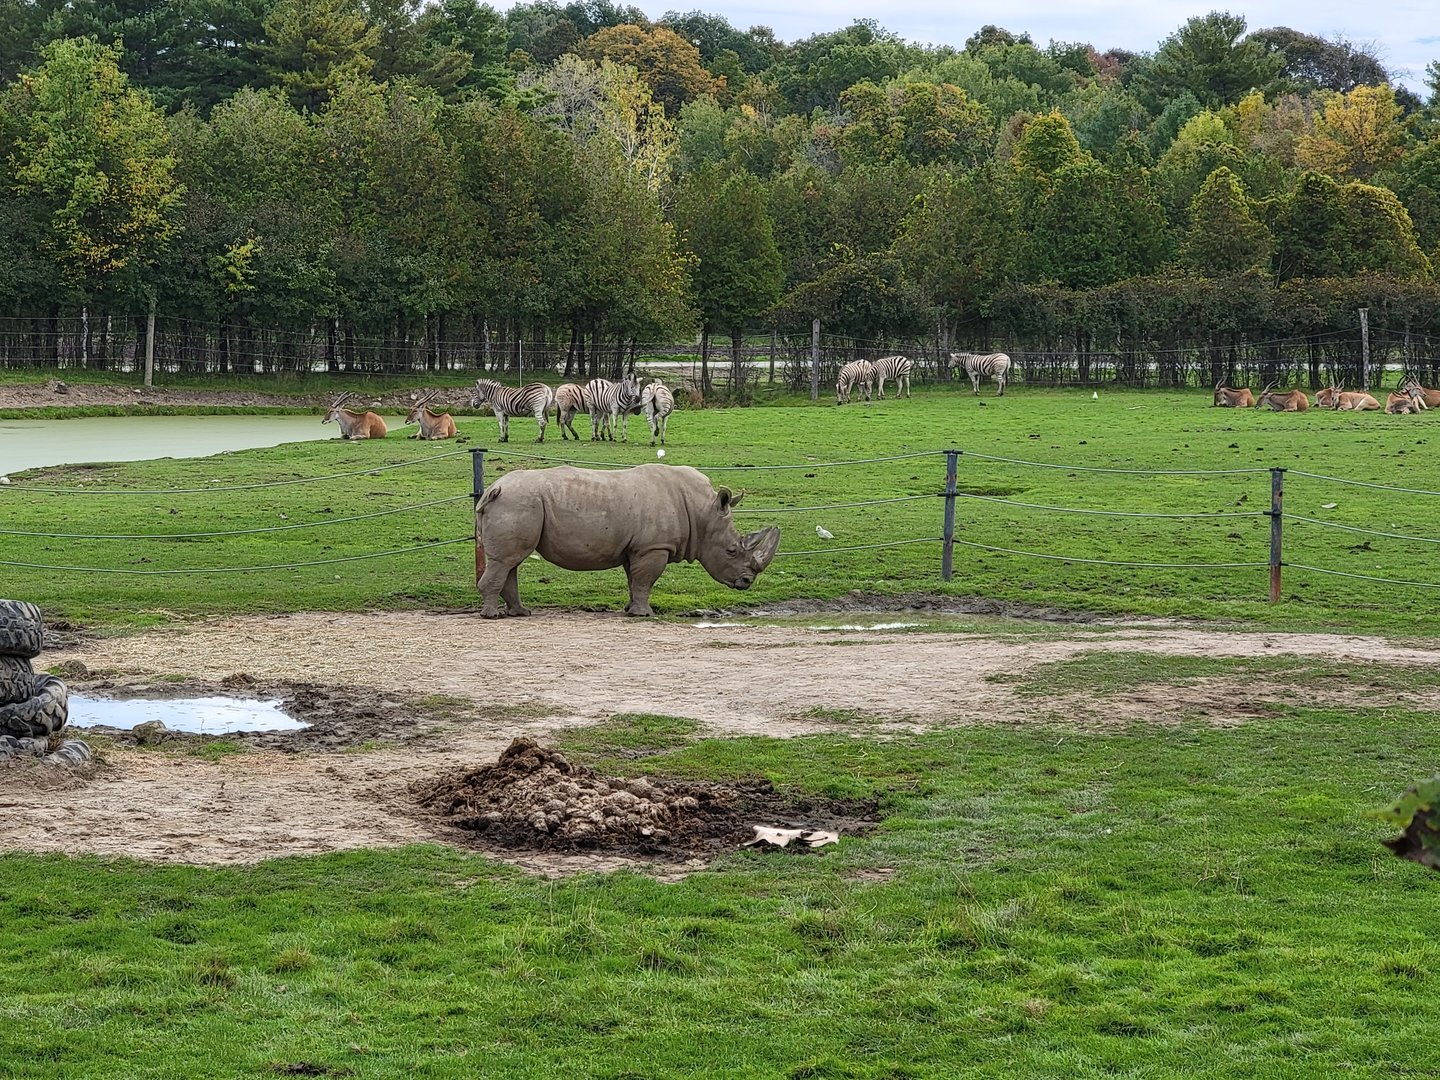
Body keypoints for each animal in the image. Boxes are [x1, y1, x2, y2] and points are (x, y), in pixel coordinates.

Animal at [474, 464, 781, 617]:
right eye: (731, 550)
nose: (746, 582)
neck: (703, 511)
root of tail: (493, 489)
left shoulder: (636, 547)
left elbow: (634, 579)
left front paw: (631, 609)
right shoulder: (654, 546)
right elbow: (646, 579)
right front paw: (644, 615)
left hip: (520, 503)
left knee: (511, 561)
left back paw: (521, 613)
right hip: (518, 502)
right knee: (506, 561)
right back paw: (492, 616)